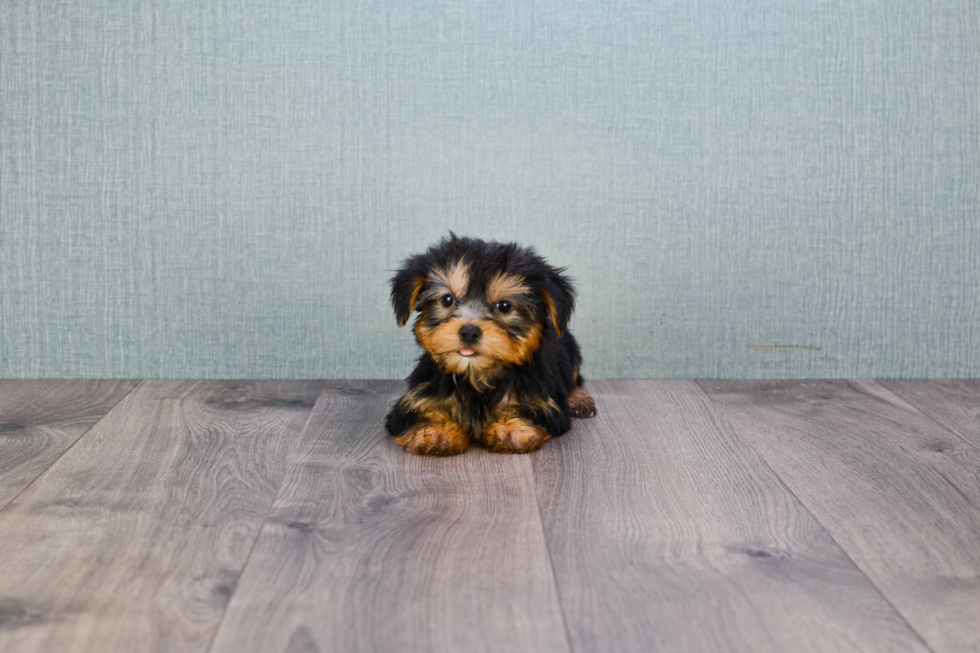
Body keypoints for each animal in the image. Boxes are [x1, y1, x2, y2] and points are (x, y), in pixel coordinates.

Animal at [382, 233, 596, 454]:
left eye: (504, 306)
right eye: (447, 299)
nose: (469, 332)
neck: (476, 375)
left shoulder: (543, 404)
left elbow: (528, 410)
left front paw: (510, 428)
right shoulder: (417, 397)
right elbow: (422, 411)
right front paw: (436, 431)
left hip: (570, 352)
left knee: (575, 379)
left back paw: (579, 400)